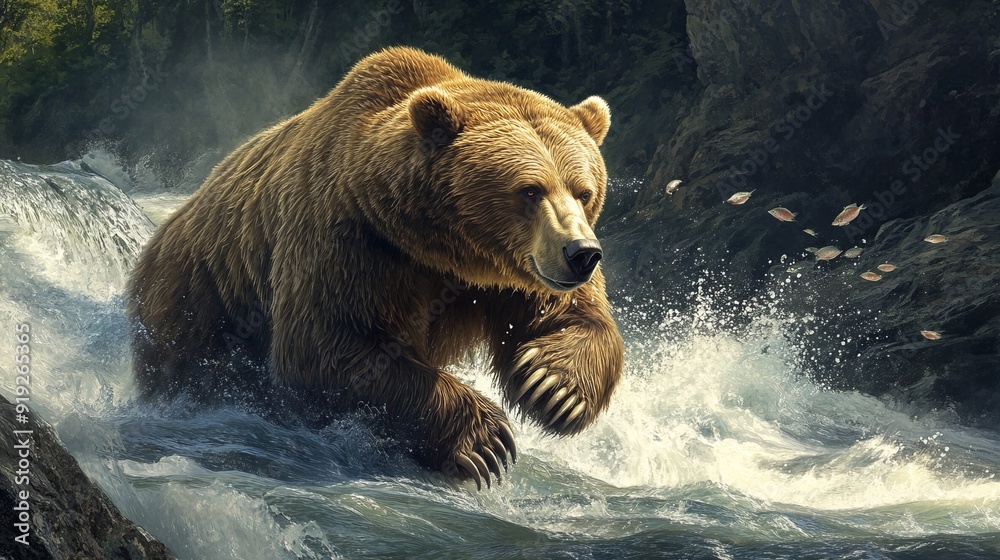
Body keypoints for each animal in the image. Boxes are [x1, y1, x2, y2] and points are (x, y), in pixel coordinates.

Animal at [127, 46, 624, 489]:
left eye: (583, 191)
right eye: (530, 190)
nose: (582, 252)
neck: (441, 247)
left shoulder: (508, 275)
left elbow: (571, 315)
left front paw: (553, 386)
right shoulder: (352, 240)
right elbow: (329, 345)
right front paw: (484, 440)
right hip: (195, 296)